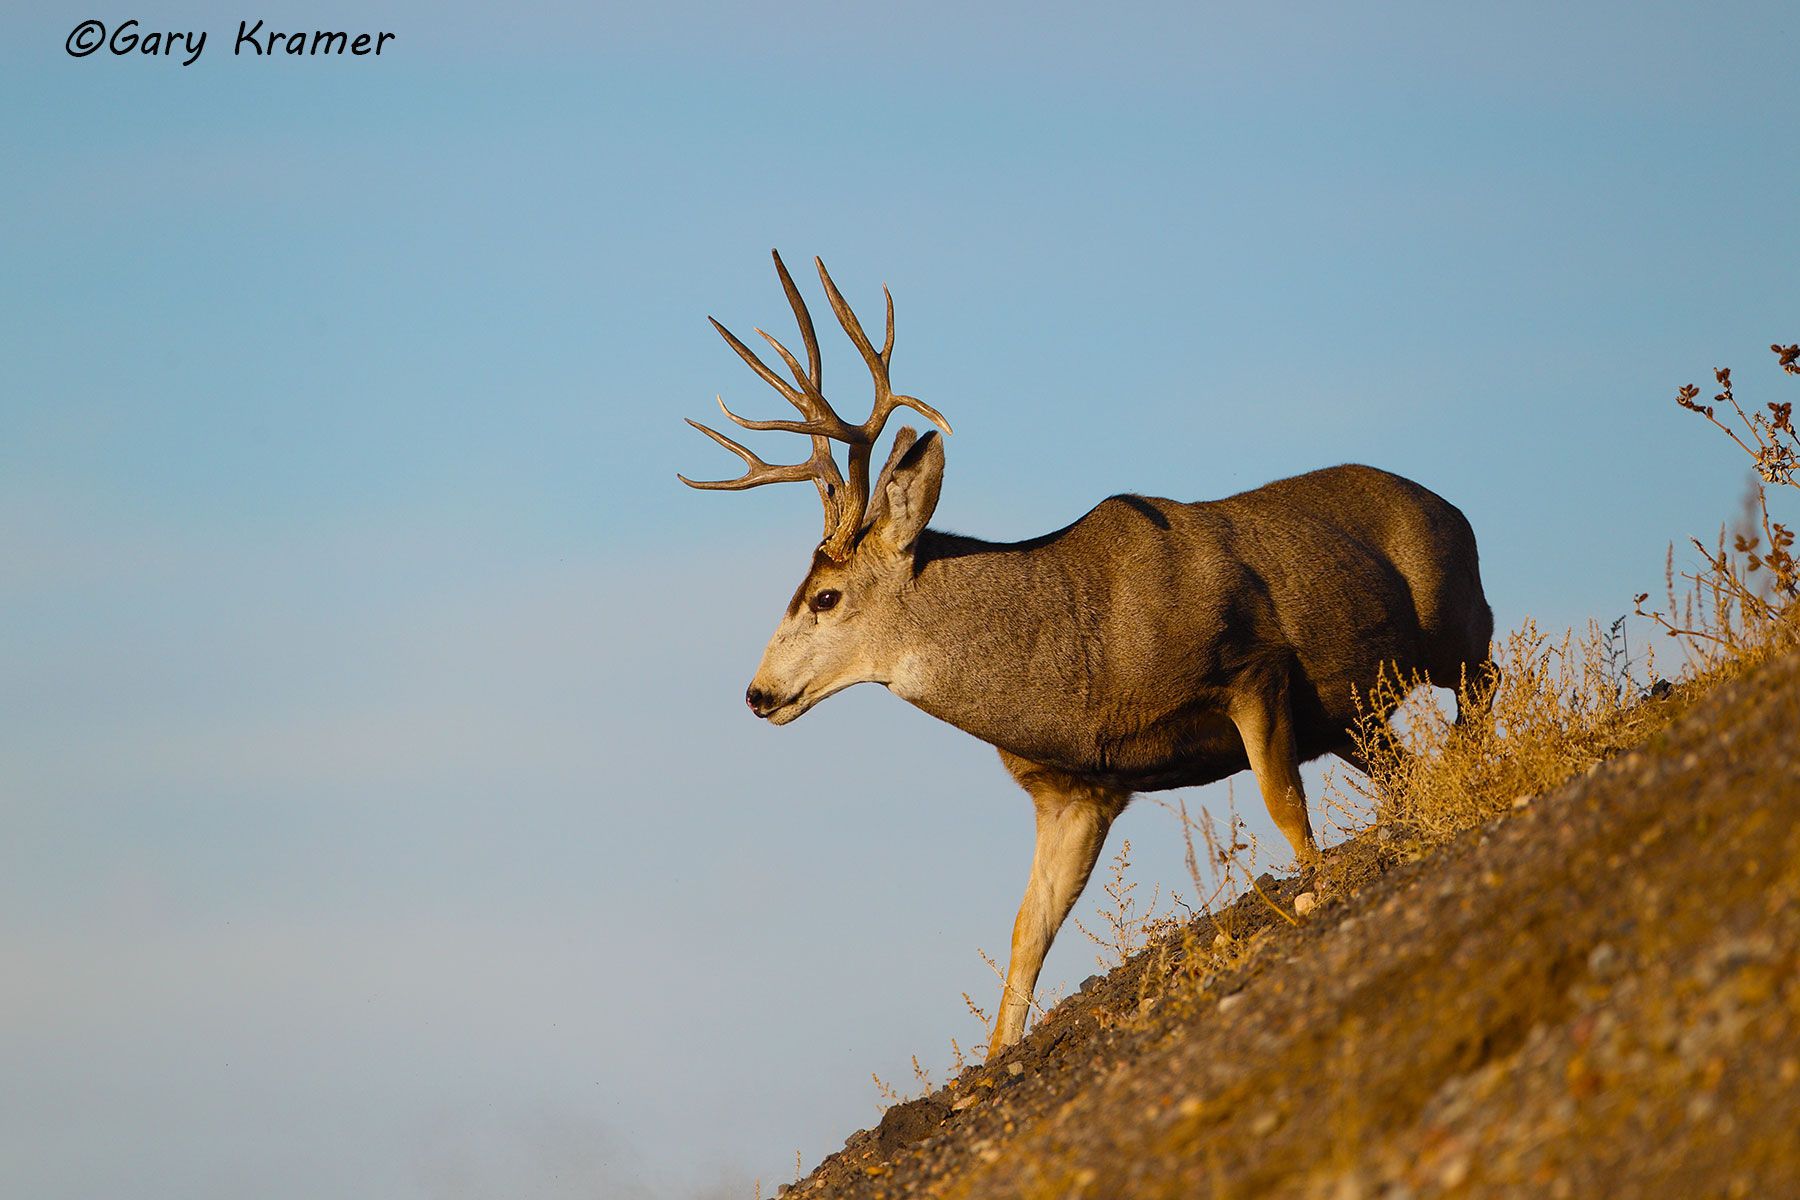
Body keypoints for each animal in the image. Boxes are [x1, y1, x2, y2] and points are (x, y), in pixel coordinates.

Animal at [679, 251, 1494, 1056]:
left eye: (824, 597)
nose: (757, 693)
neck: (1076, 656)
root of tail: (1447, 504)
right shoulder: (1074, 789)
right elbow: (1025, 933)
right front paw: (997, 1059)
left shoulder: (1251, 666)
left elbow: (1284, 807)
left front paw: (1316, 888)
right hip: (1351, 718)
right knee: (1404, 770)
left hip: (1454, 622)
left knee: (1481, 687)